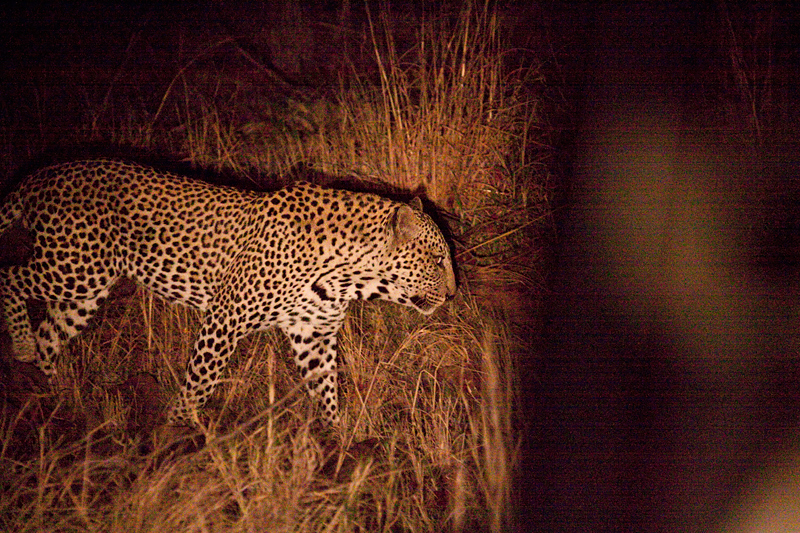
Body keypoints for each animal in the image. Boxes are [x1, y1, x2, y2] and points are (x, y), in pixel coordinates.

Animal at [0, 158, 456, 424]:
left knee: (49, 335)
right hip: (74, 266)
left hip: (85, 290)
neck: (347, 277)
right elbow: (200, 381)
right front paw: (178, 431)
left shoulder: (314, 333)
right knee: (10, 278)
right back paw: (21, 346)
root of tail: (41, 174)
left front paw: (336, 442)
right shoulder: (224, 319)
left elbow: (325, 387)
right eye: (437, 260)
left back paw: (60, 397)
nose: (453, 294)